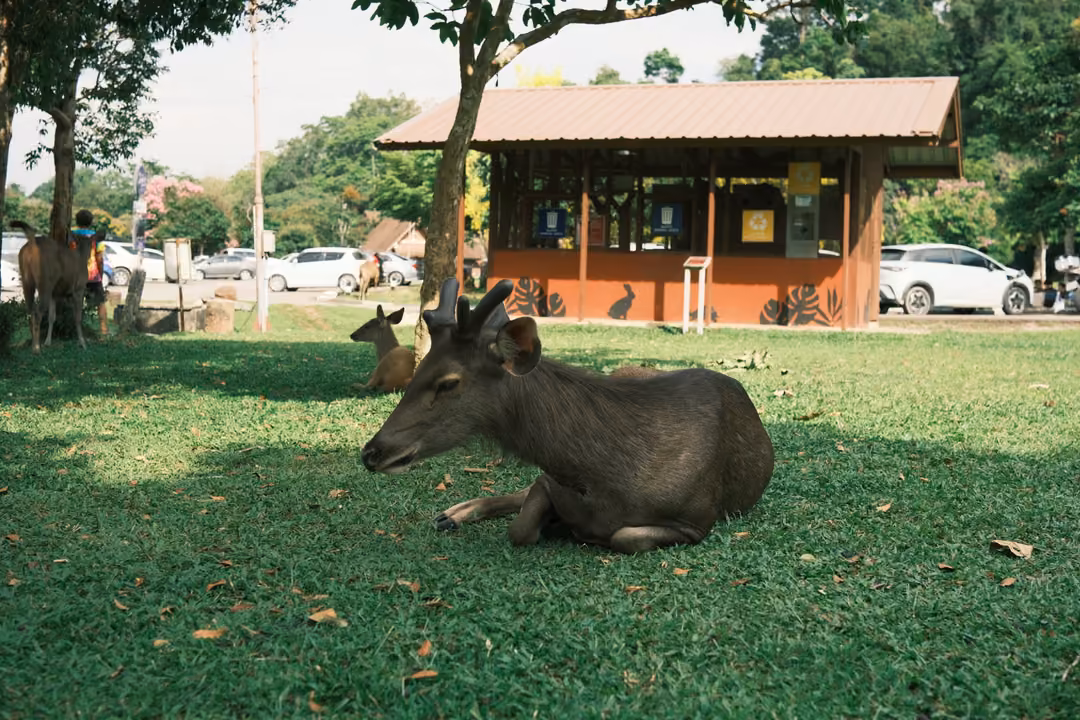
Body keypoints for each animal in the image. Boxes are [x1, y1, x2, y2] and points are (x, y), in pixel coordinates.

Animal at [13, 220, 103, 354]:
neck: (81, 256)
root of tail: (32, 245)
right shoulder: (79, 288)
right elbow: (77, 317)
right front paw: (82, 343)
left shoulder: (54, 294)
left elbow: (52, 317)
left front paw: (48, 342)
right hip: (45, 281)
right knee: (37, 312)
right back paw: (36, 348)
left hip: (26, 281)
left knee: (30, 311)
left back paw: (34, 344)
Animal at [361, 278, 775, 554]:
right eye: (420, 367)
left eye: (448, 382)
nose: (370, 452)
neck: (602, 478)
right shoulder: (549, 480)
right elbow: (522, 524)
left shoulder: (698, 519)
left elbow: (625, 536)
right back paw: (451, 513)